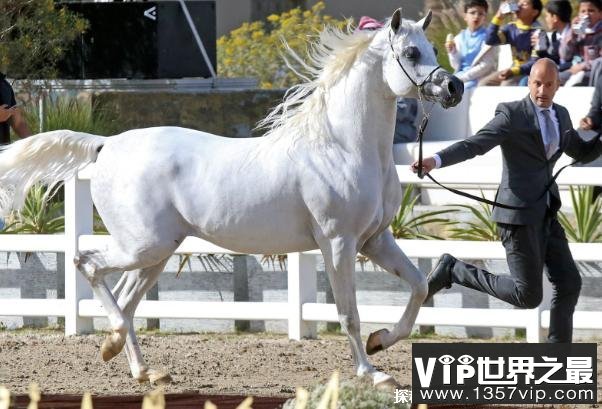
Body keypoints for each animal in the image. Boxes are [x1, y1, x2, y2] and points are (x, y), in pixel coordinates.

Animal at [0, 8, 462, 386]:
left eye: (432, 47)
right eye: (411, 53)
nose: (454, 87)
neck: (343, 146)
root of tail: (107, 144)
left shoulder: (375, 240)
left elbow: (419, 286)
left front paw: (381, 340)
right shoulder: (338, 243)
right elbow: (348, 312)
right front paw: (372, 372)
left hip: (157, 251)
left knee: (127, 300)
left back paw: (142, 369)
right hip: (142, 245)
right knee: (89, 265)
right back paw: (114, 343)